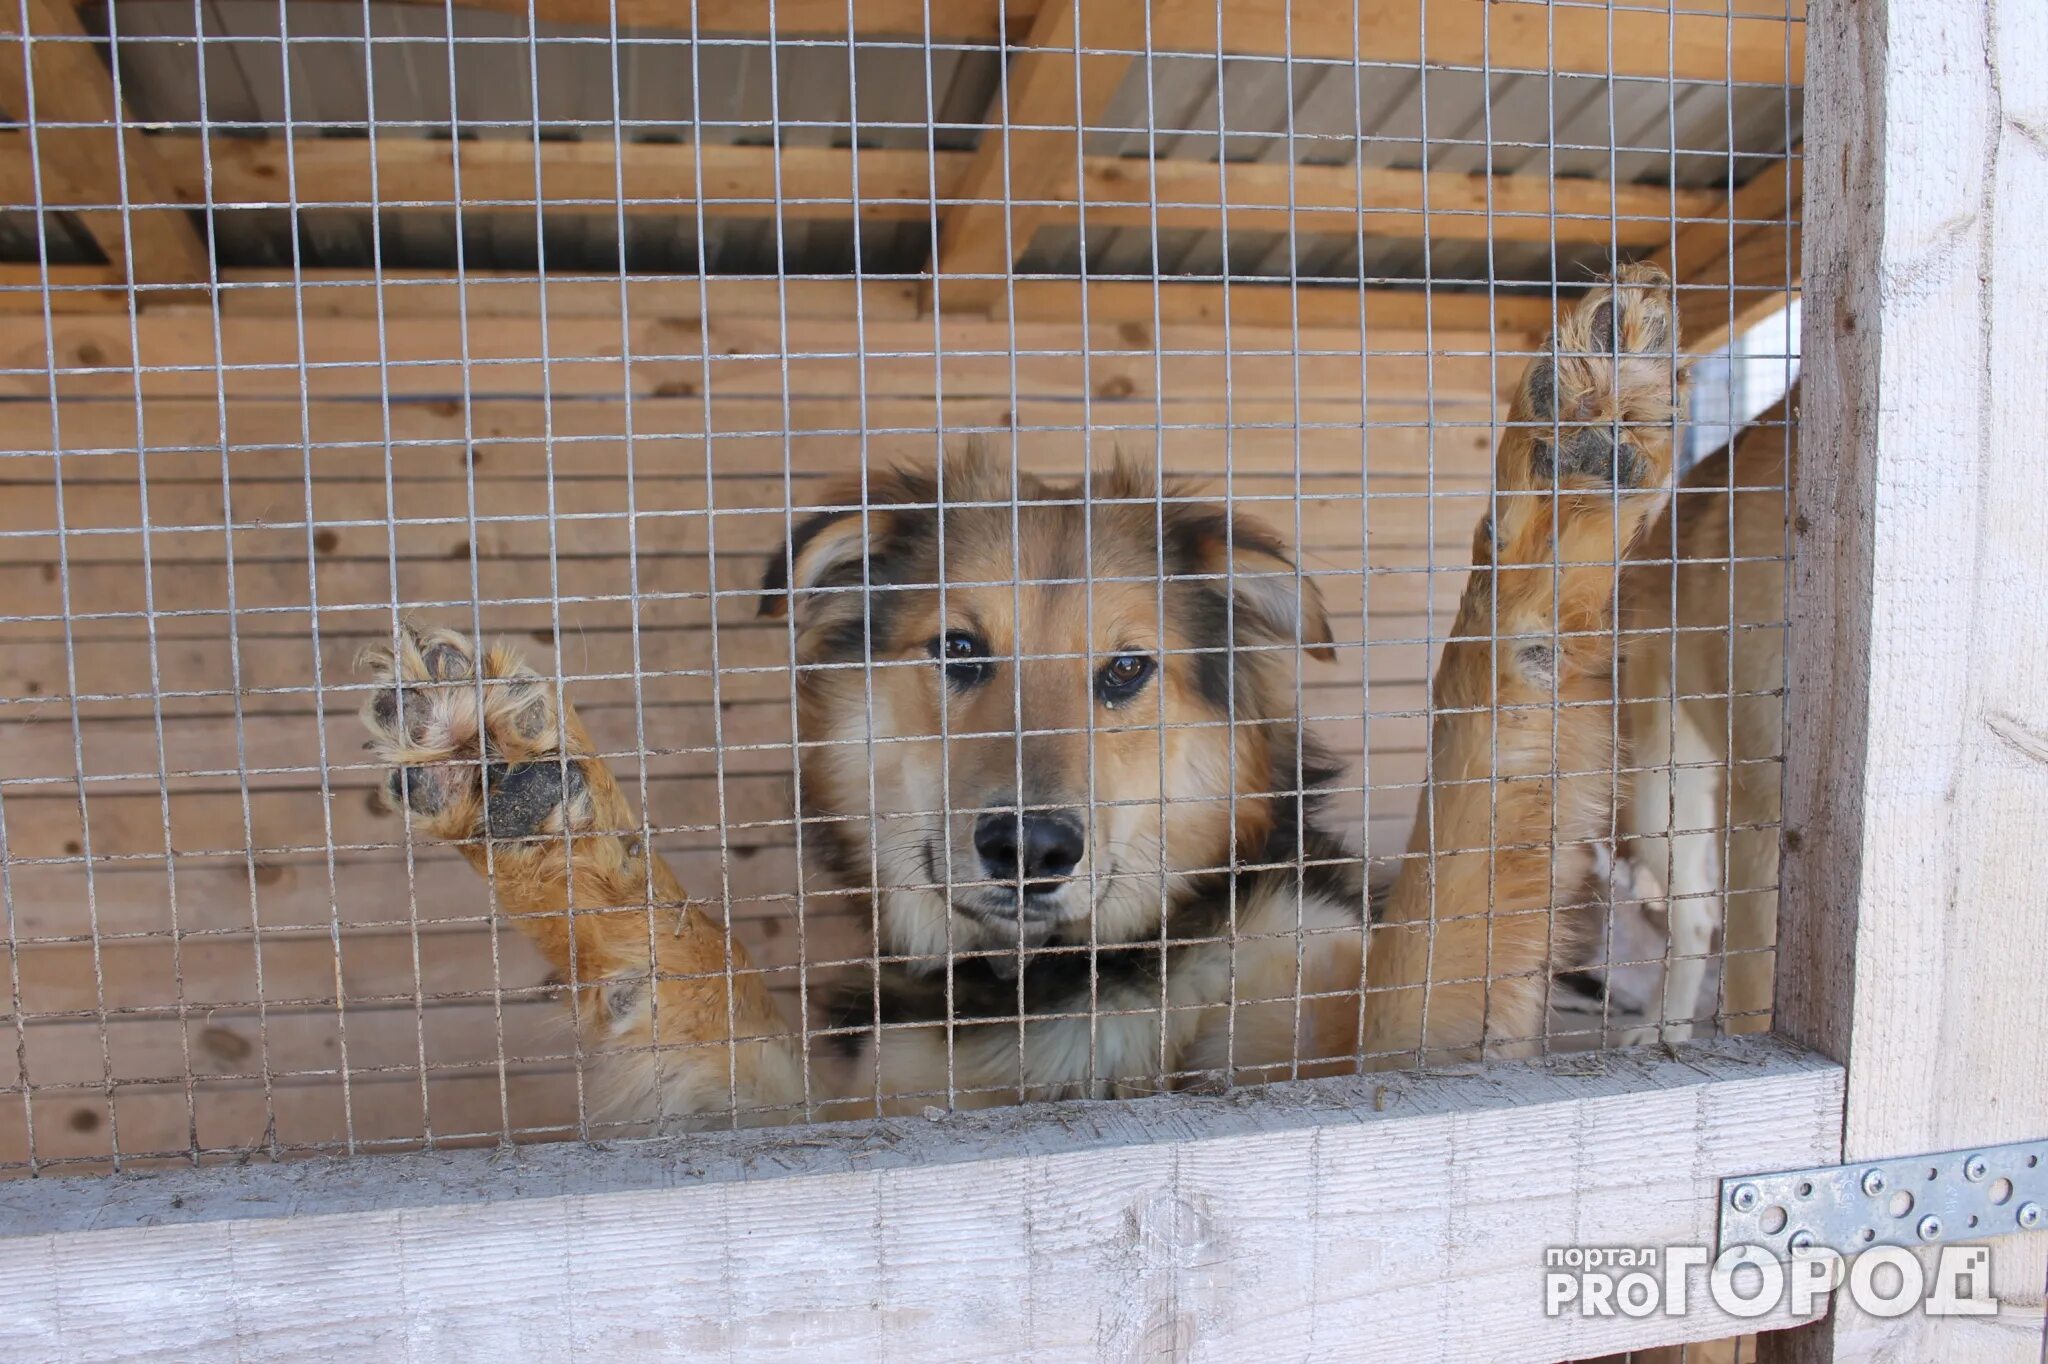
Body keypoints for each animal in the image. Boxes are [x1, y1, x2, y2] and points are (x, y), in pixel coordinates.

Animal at [360, 260, 1687, 1122]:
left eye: (1125, 669)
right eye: (957, 650)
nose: (1030, 846)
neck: (1067, 977)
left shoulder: (1399, 1039)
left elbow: (1476, 793)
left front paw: (1571, 479)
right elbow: (687, 967)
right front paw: (528, 793)